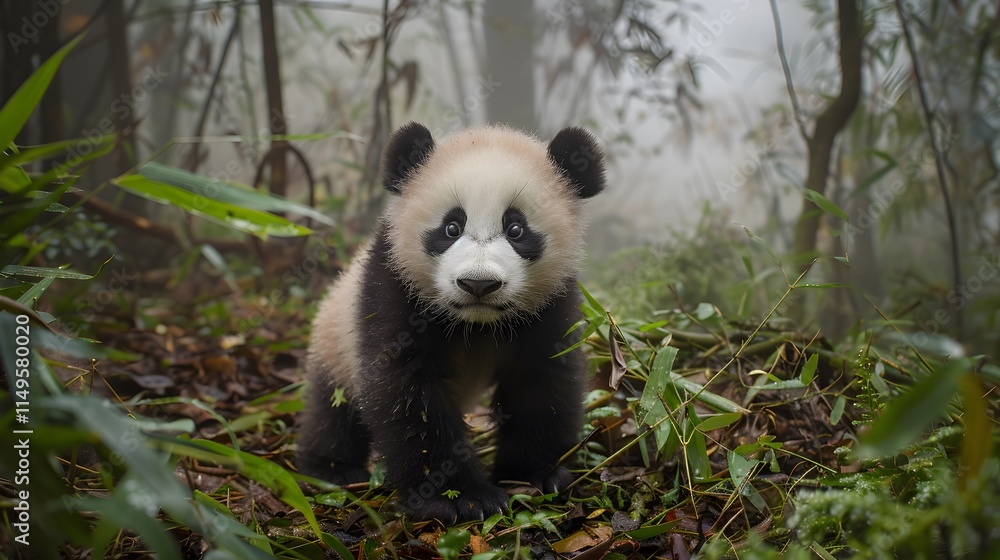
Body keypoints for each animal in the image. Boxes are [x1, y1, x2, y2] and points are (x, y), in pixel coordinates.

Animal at [296, 122, 606, 524]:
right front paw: (459, 498)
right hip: (335, 340)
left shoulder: (552, 303)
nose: (478, 284)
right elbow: (406, 391)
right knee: (332, 410)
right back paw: (331, 469)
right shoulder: (393, 287)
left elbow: (542, 380)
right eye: (451, 227)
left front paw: (533, 474)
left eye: (516, 229)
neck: (475, 323)